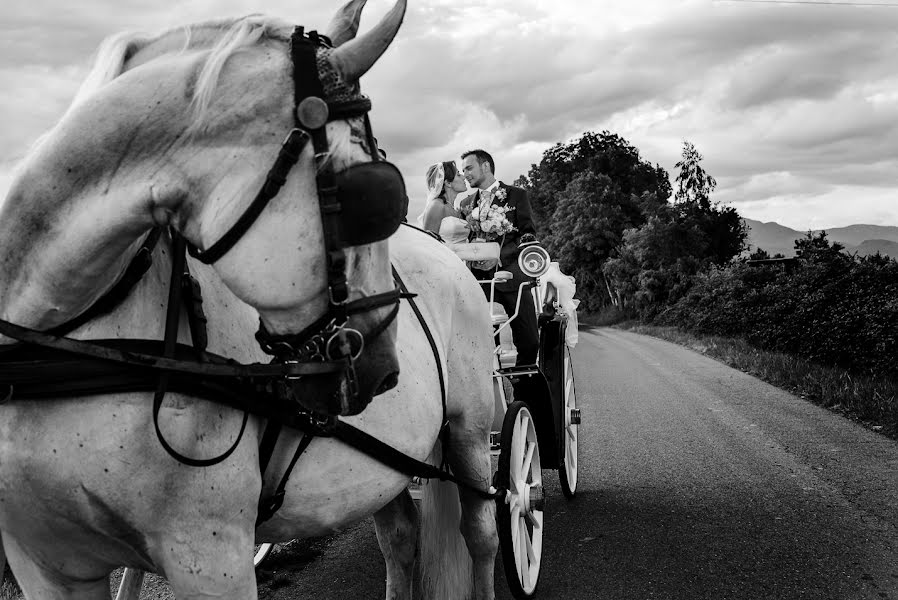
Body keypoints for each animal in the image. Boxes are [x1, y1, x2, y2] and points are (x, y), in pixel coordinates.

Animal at [0, 2, 496, 596]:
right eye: (371, 197)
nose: (383, 370)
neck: (60, 344)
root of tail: (449, 253)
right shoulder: (45, 564)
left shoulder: (210, 555)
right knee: (401, 537)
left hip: (472, 432)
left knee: (483, 530)